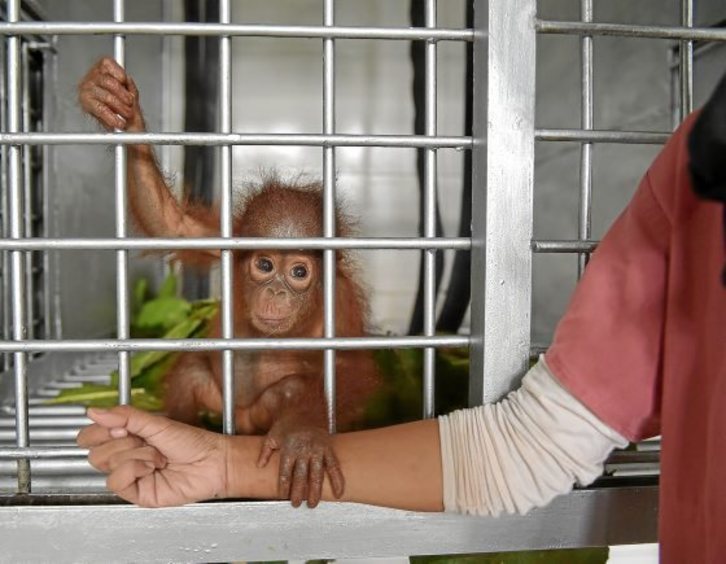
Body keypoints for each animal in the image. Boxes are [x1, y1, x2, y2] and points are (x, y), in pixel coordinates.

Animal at [78, 57, 380, 508]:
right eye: (265, 264)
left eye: (299, 273)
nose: (276, 291)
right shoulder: (223, 241)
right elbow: (173, 225)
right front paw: (118, 108)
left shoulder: (340, 298)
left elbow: (348, 364)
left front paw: (305, 434)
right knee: (191, 373)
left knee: (290, 389)